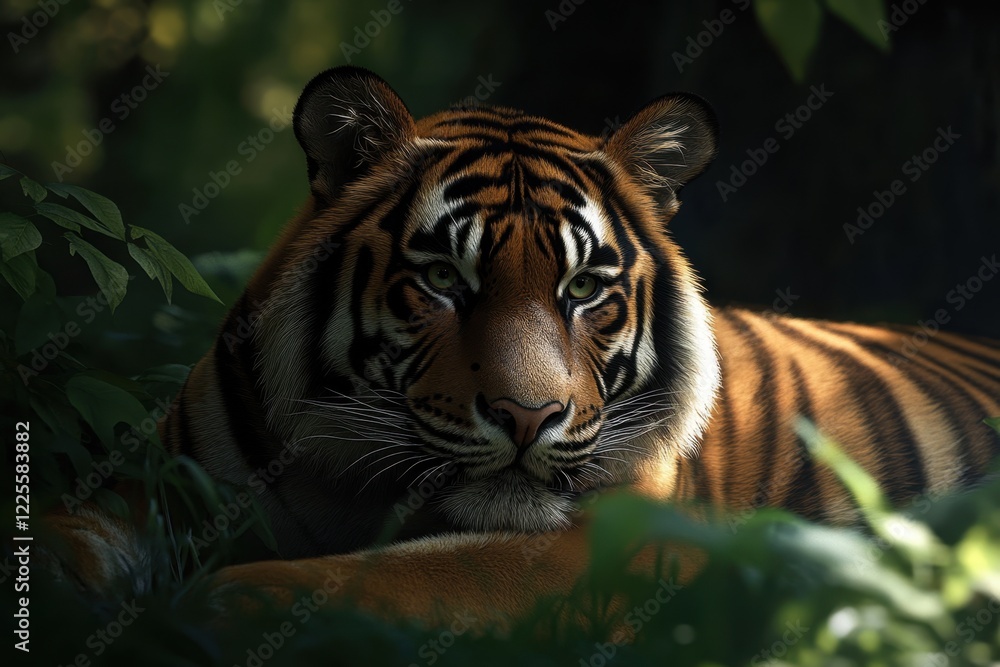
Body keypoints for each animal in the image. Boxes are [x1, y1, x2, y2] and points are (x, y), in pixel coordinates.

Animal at [47, 66, 1000, 626]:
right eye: (443, 280)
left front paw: (211, 603)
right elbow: (61, 534)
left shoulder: (606, 535)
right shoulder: (160, 486)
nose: (527, 415)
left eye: (583, 289)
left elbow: (380, 574)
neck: (345, 479)